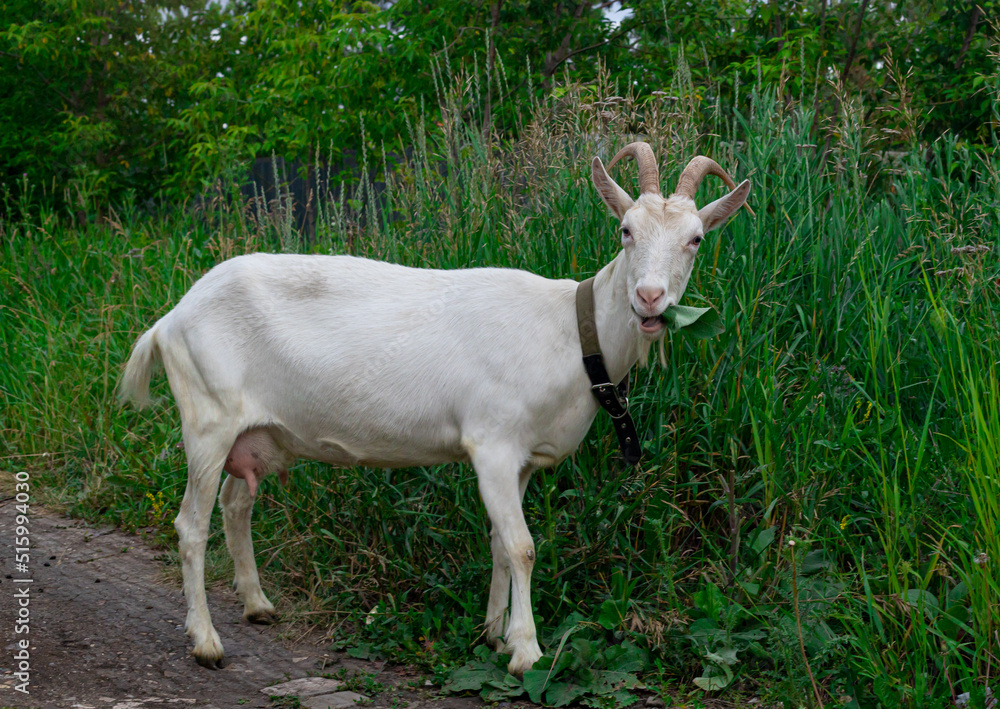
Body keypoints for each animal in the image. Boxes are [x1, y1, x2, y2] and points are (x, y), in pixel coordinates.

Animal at [119, 142, 750, 676]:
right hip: (207, 419)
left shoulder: (519, 460)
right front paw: (526, 651)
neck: (570, 331)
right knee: (191, 524)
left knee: (235, 505)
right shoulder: (492, 443)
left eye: (696, 238)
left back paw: (257, 605)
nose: (650, 298)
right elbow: (522, 546)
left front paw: (493, 634)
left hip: (256, 432)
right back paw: (206, 642)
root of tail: (171, 317)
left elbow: (499, 542)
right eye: (625, 230)